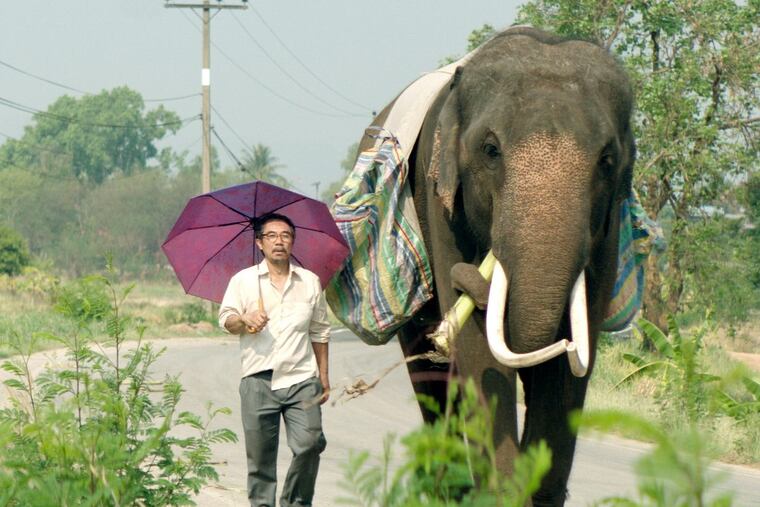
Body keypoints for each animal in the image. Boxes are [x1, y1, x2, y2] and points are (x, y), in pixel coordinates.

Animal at [355, 26, 635, 506]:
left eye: (607, 161)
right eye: (490, 150)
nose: (468, 279)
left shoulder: (607, 229)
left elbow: (570, 364)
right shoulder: (438, 193)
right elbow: (477, 352)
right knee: (431, 376)